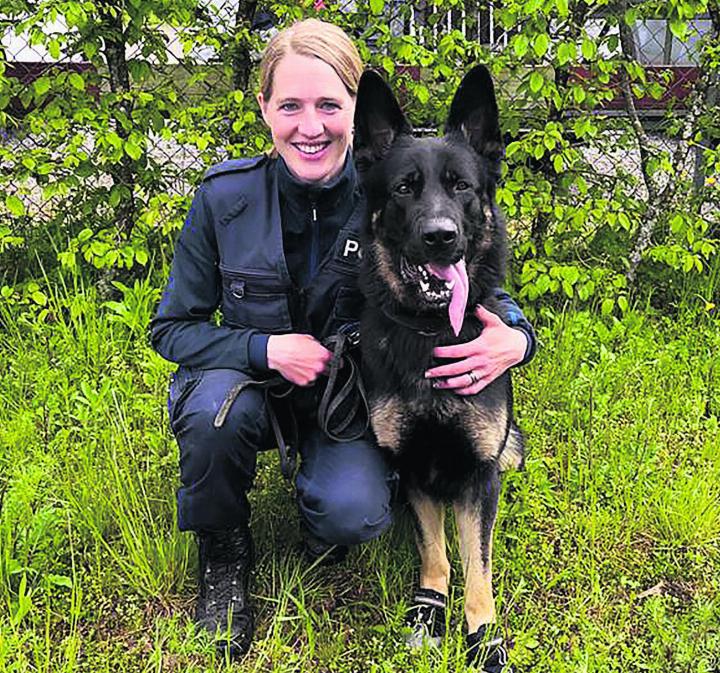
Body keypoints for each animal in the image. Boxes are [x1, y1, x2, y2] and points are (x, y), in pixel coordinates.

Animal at [354, 65, 524, 668]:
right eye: (405, 187)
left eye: (462, 187)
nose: (440, 237)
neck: (432, 332)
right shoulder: (412, 467)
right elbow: (437, 551)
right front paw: (430, 609)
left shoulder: (478, 474)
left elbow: (478, 566)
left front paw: (483, 636)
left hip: (509, 450)